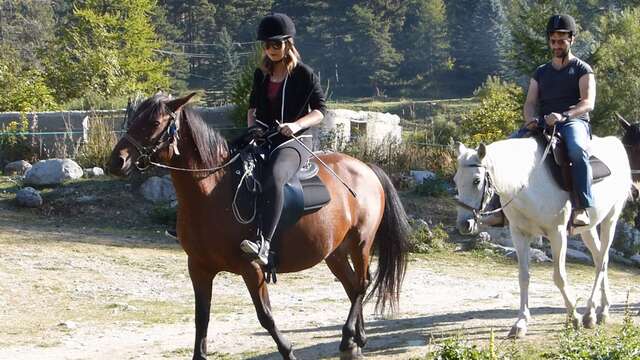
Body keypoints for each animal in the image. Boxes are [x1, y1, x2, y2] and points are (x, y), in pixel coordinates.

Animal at [109, 93, 410, 360]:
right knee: (351, 285)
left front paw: (288, 351)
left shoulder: (251, 268)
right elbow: (201, 318)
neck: (213, 192)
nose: (116, 161)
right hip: (334, 251)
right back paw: (357, 340)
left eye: (154, 123)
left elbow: (265, 316)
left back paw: (349, 339)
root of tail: (366, 168)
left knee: (361, 285)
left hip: (361, 242)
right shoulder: (199, 268)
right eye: (133, 118)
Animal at [456, 136, 632, 338]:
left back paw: (591, 313)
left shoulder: (557, 233)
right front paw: (520, 323)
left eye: (476, 180)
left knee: (602, 261)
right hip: (588, 228)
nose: (464, 224)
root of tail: (615, 142)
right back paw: (600, 310)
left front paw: (574, 317)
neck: (528, 182)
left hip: (610, 219)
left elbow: (559, 277)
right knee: (599, 258)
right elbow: (523, 277)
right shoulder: (519, 234)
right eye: (455, 180)